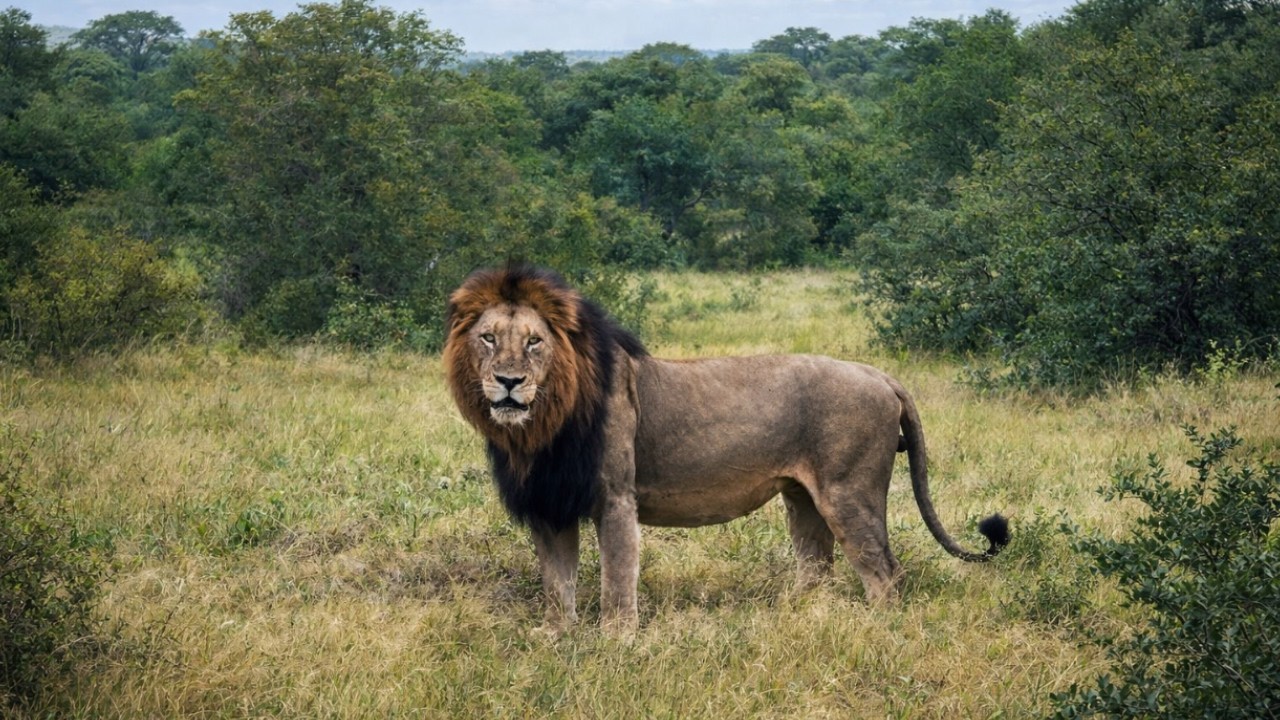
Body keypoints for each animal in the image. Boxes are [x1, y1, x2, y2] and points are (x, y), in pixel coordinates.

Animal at [444, 264, 1008, 633]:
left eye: (534, 341)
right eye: (489, 338)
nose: (509, 382)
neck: (539, 427)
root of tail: (879, 374)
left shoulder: (616, 499)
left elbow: (616, 582)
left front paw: (616, 645)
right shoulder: (549, 505)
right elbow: (556, 585)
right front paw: (556, 639)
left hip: (849, 494)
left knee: (886, 575)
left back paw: (874, 633)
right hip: (803, 499)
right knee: (817, 568)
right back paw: (797, 619)